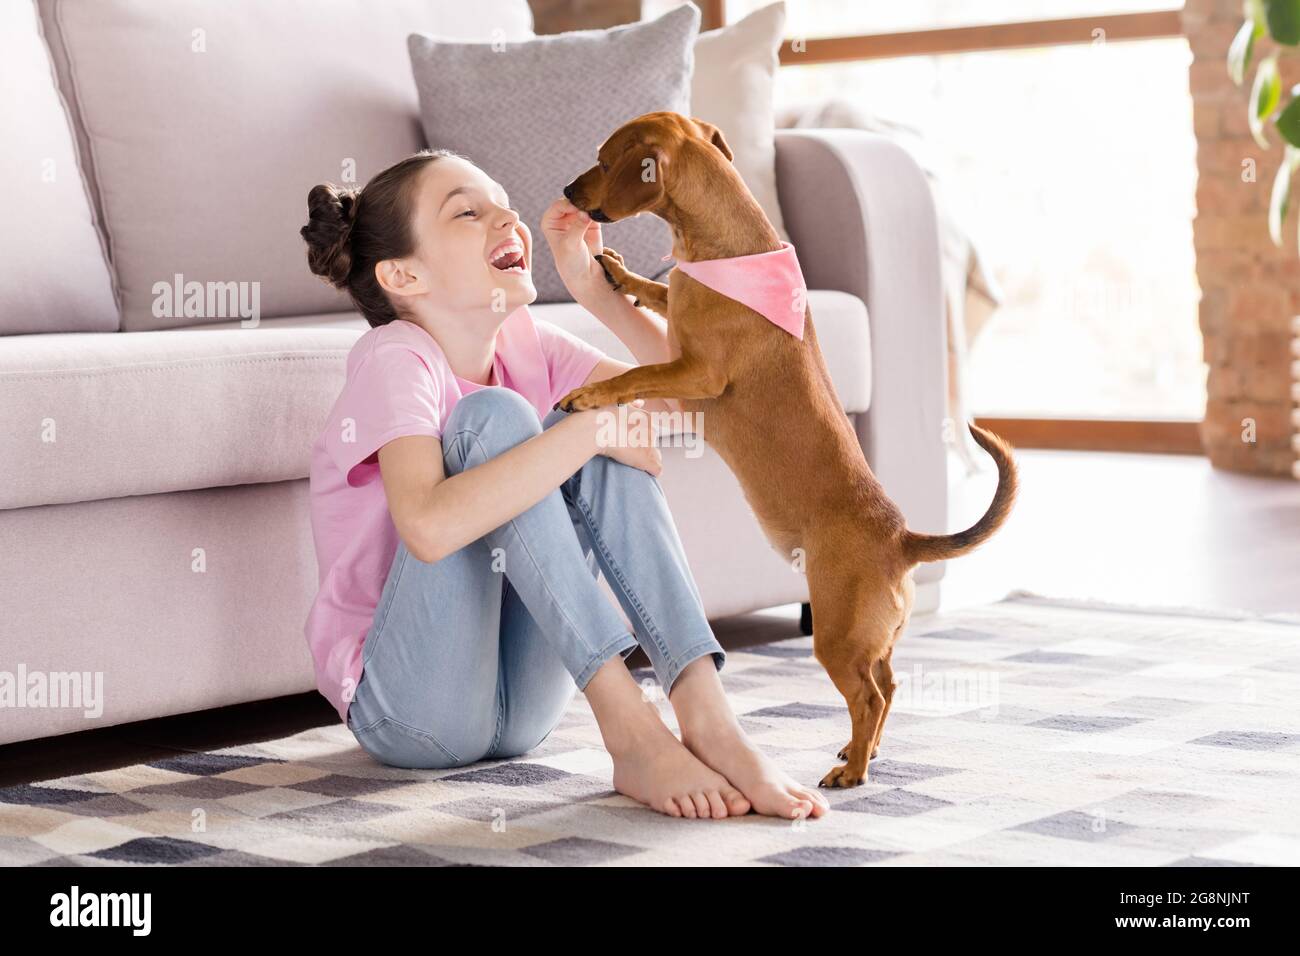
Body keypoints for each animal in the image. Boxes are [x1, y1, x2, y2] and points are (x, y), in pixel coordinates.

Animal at [556, 111, 1013, 790]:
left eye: (605, 161)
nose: (565, 191)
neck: (727, 249)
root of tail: (901, 539)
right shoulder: (678, 320)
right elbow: (659, 293)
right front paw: (621, 273)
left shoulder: (693, 372)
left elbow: (632, 376)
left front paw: (589, 392)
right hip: (872, 639)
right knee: (889, 685)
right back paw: (859, 751)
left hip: (836, 635)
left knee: (868, 696)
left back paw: (853, 772)